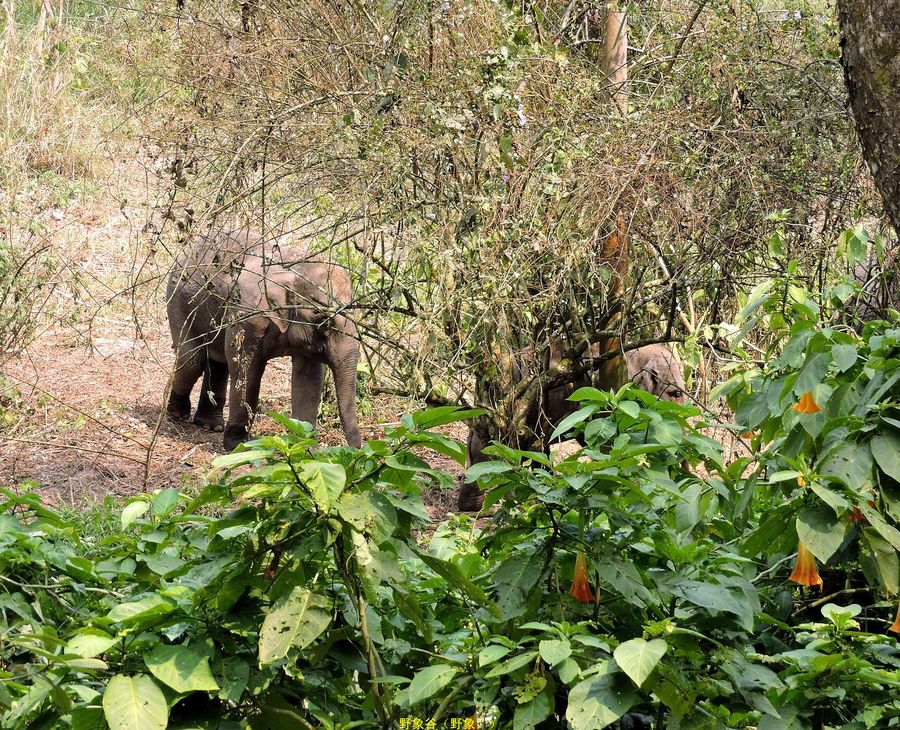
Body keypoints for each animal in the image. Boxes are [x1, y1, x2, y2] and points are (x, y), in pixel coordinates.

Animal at [165, 228, 362, 450]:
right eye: (324, 322)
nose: (356, 451)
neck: (295, 270)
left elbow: (309, 380)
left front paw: (307, 449)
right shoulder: (247, 316)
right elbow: (246, 371)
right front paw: (238, 445)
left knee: (217, 362)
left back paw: (210, 425)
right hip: (179, 300)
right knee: (193, 360)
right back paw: (177, 413)